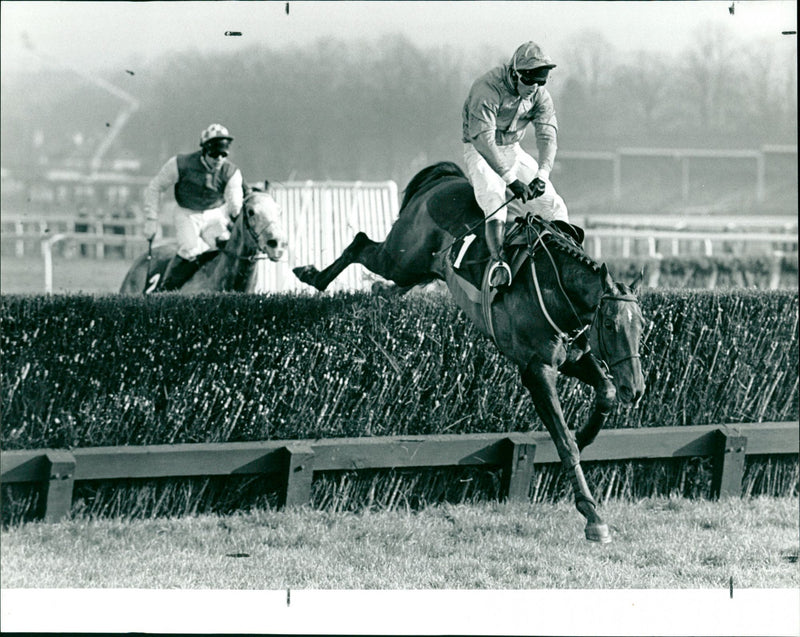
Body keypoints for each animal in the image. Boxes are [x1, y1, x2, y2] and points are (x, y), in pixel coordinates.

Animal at [296, 161, 648, 544]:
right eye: (610, 325)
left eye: (642, 325)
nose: (636, 388)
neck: (554, 287)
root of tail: (446, 177)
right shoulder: (536, 369)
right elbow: (564, 441)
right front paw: (592, 515)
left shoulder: (574, 358)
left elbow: (606, 392)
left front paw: (586, 434)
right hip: (403, 256)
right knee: (362, 242)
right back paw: (311, 274)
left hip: (419, 269)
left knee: (389, 281)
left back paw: (377, 293)